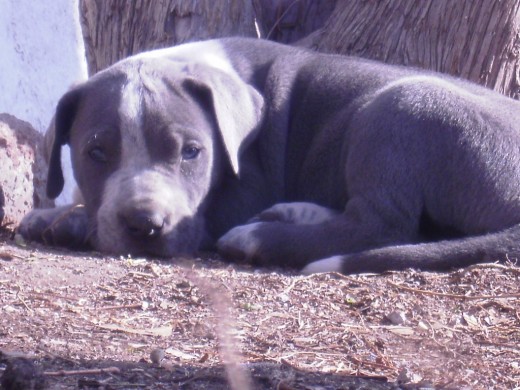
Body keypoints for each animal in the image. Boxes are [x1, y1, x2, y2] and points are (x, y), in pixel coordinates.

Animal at [18, 38, 520, 272]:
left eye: (192, 152)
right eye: (96, 152)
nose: (145, 225)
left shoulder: (241, 191)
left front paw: (72, 222)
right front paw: (52, 216)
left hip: (404, 104)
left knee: (382, 227)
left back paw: (258, 236)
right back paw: (293, 213)